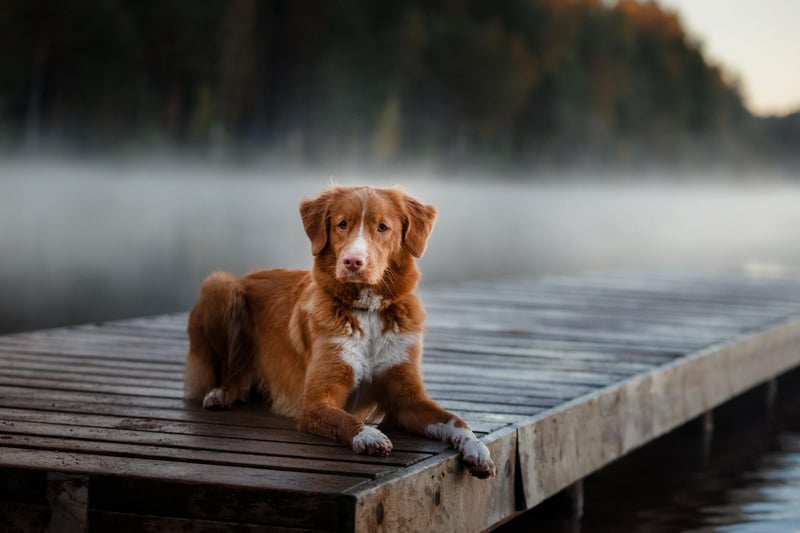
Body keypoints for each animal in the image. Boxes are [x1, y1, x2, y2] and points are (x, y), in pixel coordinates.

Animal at [186, 184, 494, 478]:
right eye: (342, 224)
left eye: (382, 227)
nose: (352, 262)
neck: (368, 312)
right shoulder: (315, 401)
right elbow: (345, 418)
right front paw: (368, 435)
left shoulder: (407, 400)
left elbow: (454, 419)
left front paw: (476, 447)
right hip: (220, 285)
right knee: (234, 371)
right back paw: (221, 393)